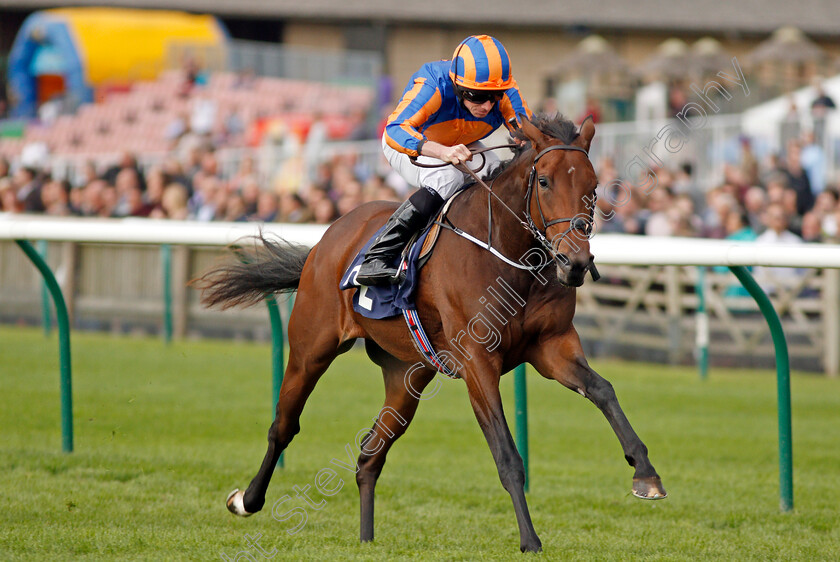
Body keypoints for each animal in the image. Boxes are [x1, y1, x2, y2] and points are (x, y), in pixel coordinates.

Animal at [195, 114, 664, 552]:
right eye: (545, 181)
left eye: (594, 185)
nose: (575, 263)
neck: (510, 257)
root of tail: (328, 238)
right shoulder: (478, 361)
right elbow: (507, 455)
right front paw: (530, 540)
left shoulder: (552, 346)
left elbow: (602, 390)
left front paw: (646, 474)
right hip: (311, 348)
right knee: (283, 426)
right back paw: (247, 500)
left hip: (407, 375)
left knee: (369, 456)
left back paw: (366, 540)